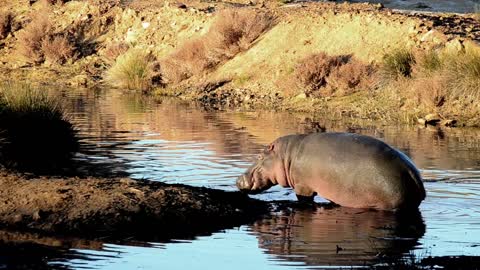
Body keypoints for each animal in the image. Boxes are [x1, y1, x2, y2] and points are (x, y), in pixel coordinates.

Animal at [236, 133, 424, 211]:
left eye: (260, 156)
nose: (238, 180)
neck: (286, 155)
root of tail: (411, 173)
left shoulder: (303, 187)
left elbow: (304, 199)